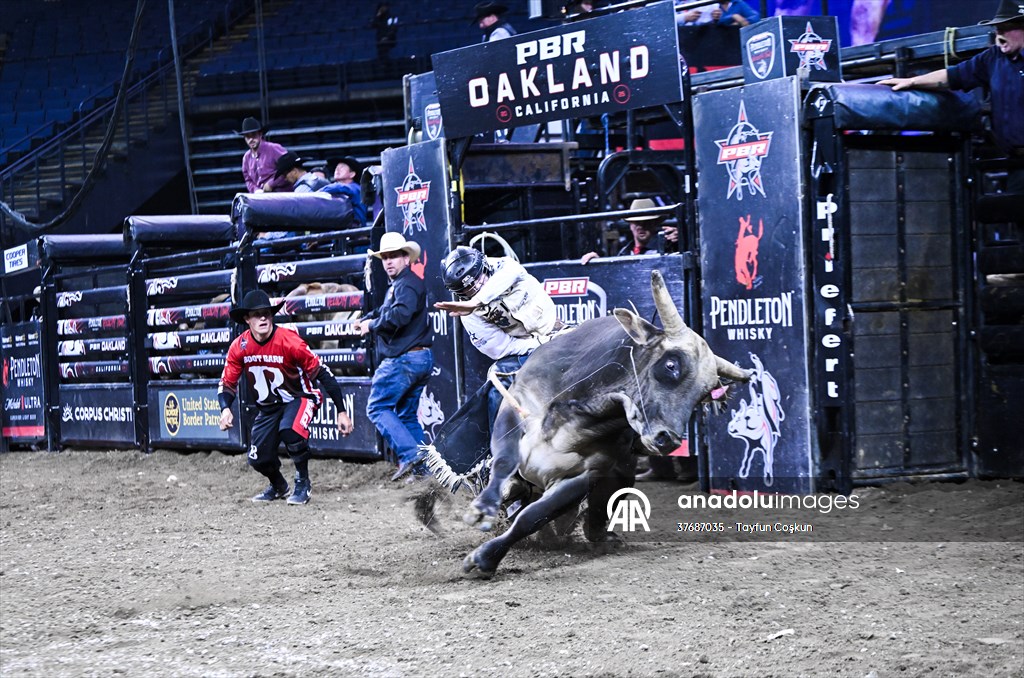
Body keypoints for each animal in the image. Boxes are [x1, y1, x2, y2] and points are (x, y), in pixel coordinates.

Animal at [459, 270, 751, 577]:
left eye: (704, 393)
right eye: (671, 364)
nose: (668, 439)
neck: (578, 414)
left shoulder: (587, 474)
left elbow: (533, 516)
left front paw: (484, 558)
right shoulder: (515, 408)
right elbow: (504, 463)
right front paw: (483, 509)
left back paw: (600, 535)